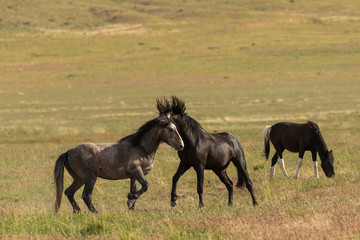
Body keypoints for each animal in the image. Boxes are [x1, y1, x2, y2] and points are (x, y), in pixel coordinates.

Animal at [54, 115, 184, 214]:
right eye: (171, 129)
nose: (181, 145)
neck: (142, 148)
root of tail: (69, 152)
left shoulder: (133, 176)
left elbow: (136, 189)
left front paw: (131, 206)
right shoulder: (136, 170)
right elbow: (146, 186)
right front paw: (130, 199)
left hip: (79, 179)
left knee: (69, 192)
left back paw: (77, 211)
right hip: (90, 178)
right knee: (86, 195)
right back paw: (95, 213)